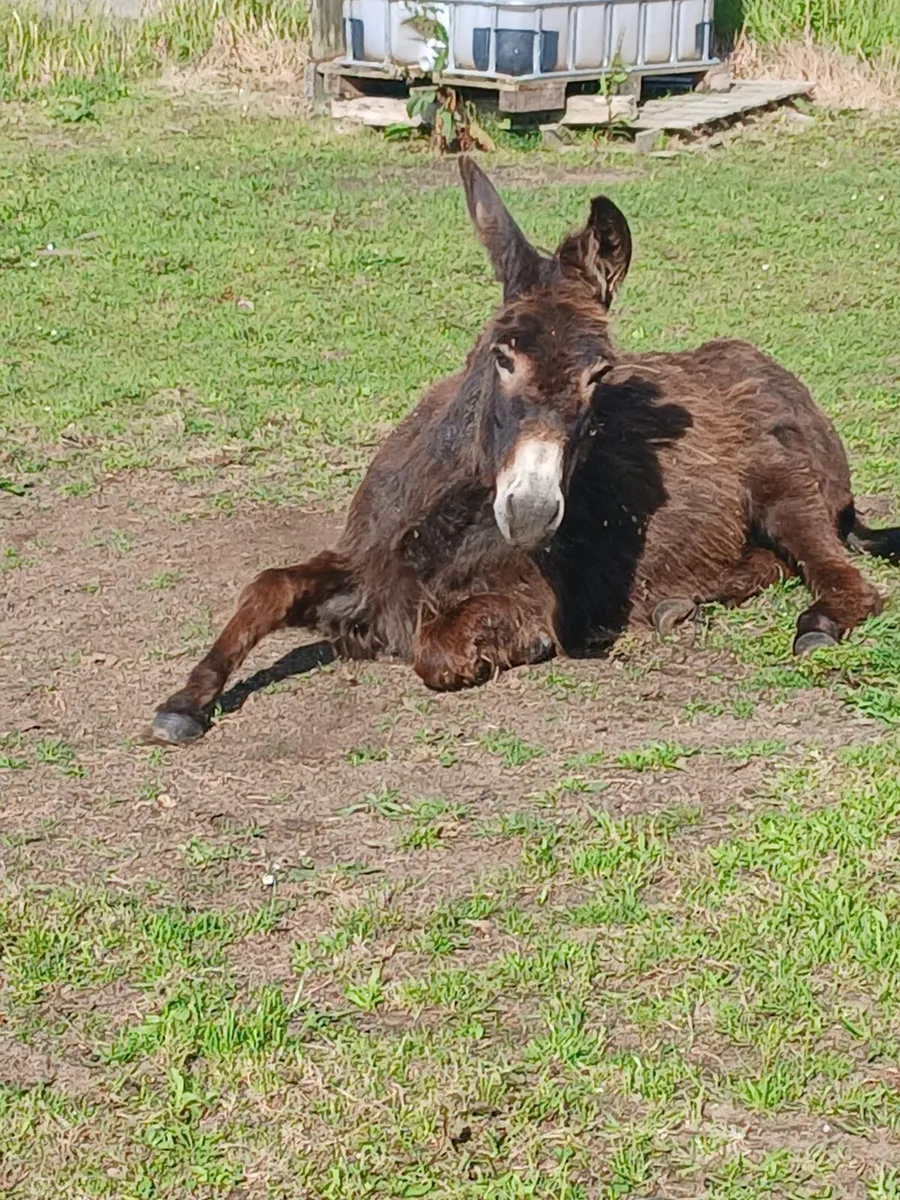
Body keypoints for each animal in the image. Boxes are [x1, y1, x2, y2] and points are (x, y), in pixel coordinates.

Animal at [150, 157, 899, 744]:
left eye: (600, 375)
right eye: (501, 353)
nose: (534, 514)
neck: (438, 525)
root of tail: (777, 370)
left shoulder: (529, 594)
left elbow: (435, 648)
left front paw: (507, 648)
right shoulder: (362, 561)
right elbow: (266, 585)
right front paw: (186, 700)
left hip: (784, 487)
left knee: (842, 578)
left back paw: (815, 622)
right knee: (773, 563)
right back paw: (678, 603)